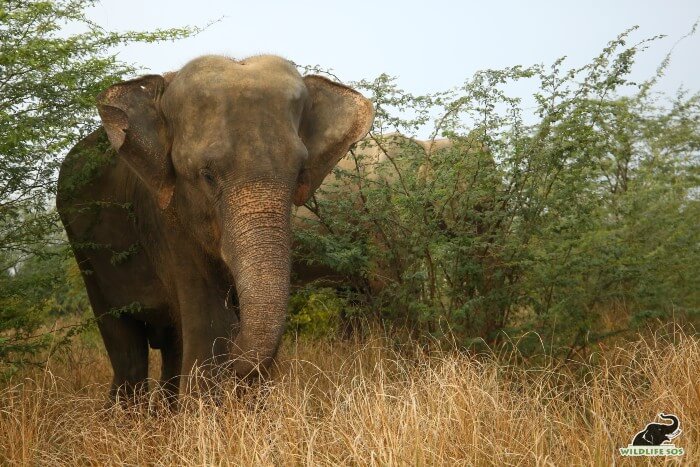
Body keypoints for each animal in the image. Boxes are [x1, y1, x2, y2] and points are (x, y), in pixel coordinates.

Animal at [57, 54, 374, 402]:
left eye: (298, 173)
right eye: (207, 176)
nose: (236, 352)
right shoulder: (167, 217)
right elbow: (210, 325)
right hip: (85, 254)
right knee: (126, 346)